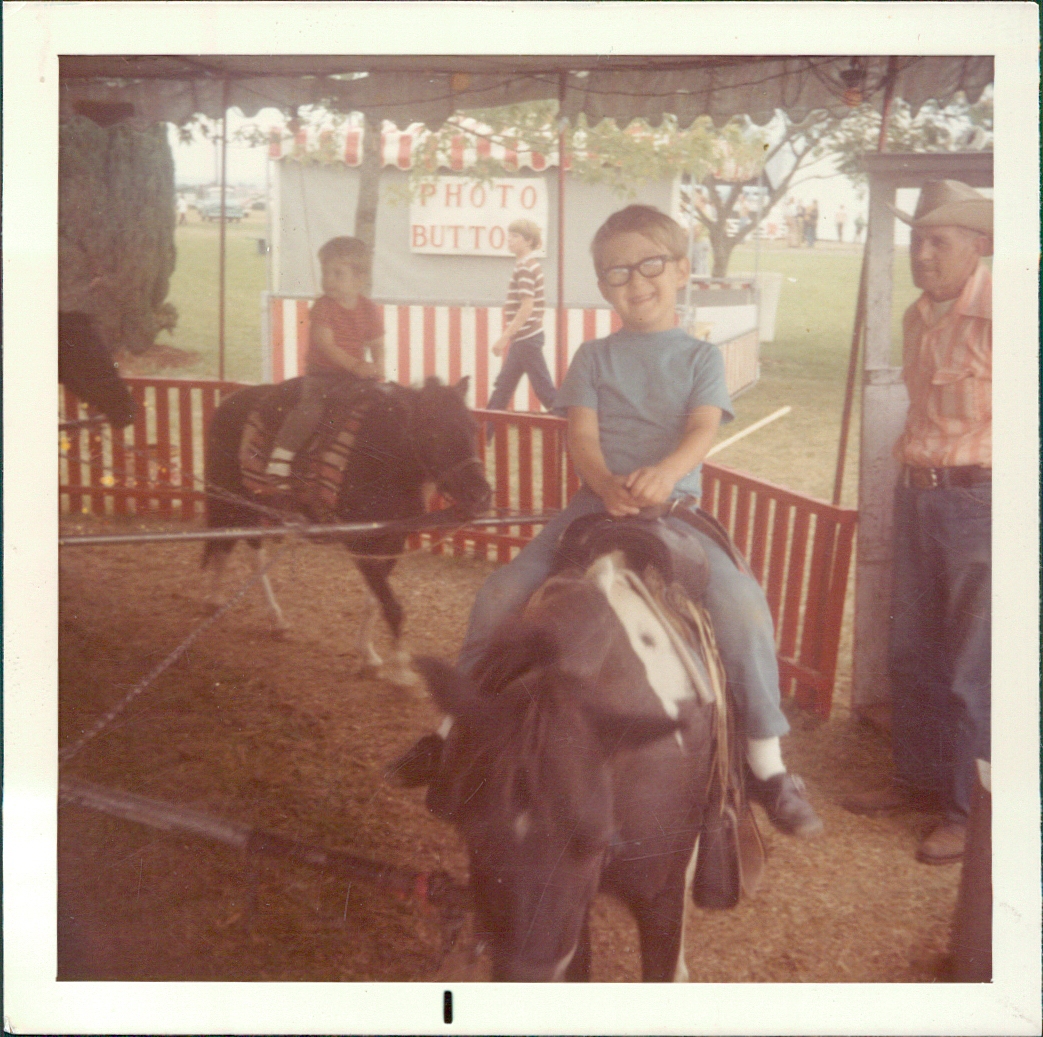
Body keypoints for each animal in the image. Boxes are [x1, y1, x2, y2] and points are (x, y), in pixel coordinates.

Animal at [202, 375, 492, 686]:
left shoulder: (392, 540)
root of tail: (226, 404)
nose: (480, 495)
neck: (383, 459)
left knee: (232, 545)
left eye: (473, 428)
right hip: (233, 499)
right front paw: (402, 671)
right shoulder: (359, 543)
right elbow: (392, 606)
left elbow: (375, 601)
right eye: (433, 435)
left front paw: (368, 655)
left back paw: (233, 606)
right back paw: (246, 609)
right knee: (241, 548)